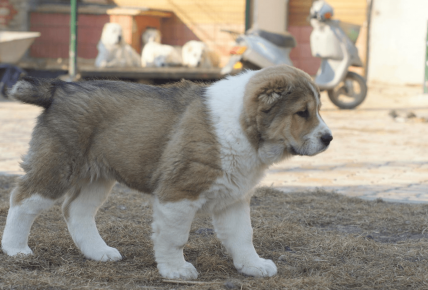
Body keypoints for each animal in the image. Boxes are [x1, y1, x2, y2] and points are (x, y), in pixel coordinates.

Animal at [1, 64, 332, 280]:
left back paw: (99, 252)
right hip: (58, 165)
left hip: (97, 175)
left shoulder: (233, 198)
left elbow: (243, 235)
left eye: (316, 110)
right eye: (302, 112)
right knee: (23, 199)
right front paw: (176, 270)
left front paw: (253, 265)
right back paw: (15, 248)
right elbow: (175, 238)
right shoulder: (179, 194)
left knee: (76, 210)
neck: (242, 127)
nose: (328, 138)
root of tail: (59, 88)